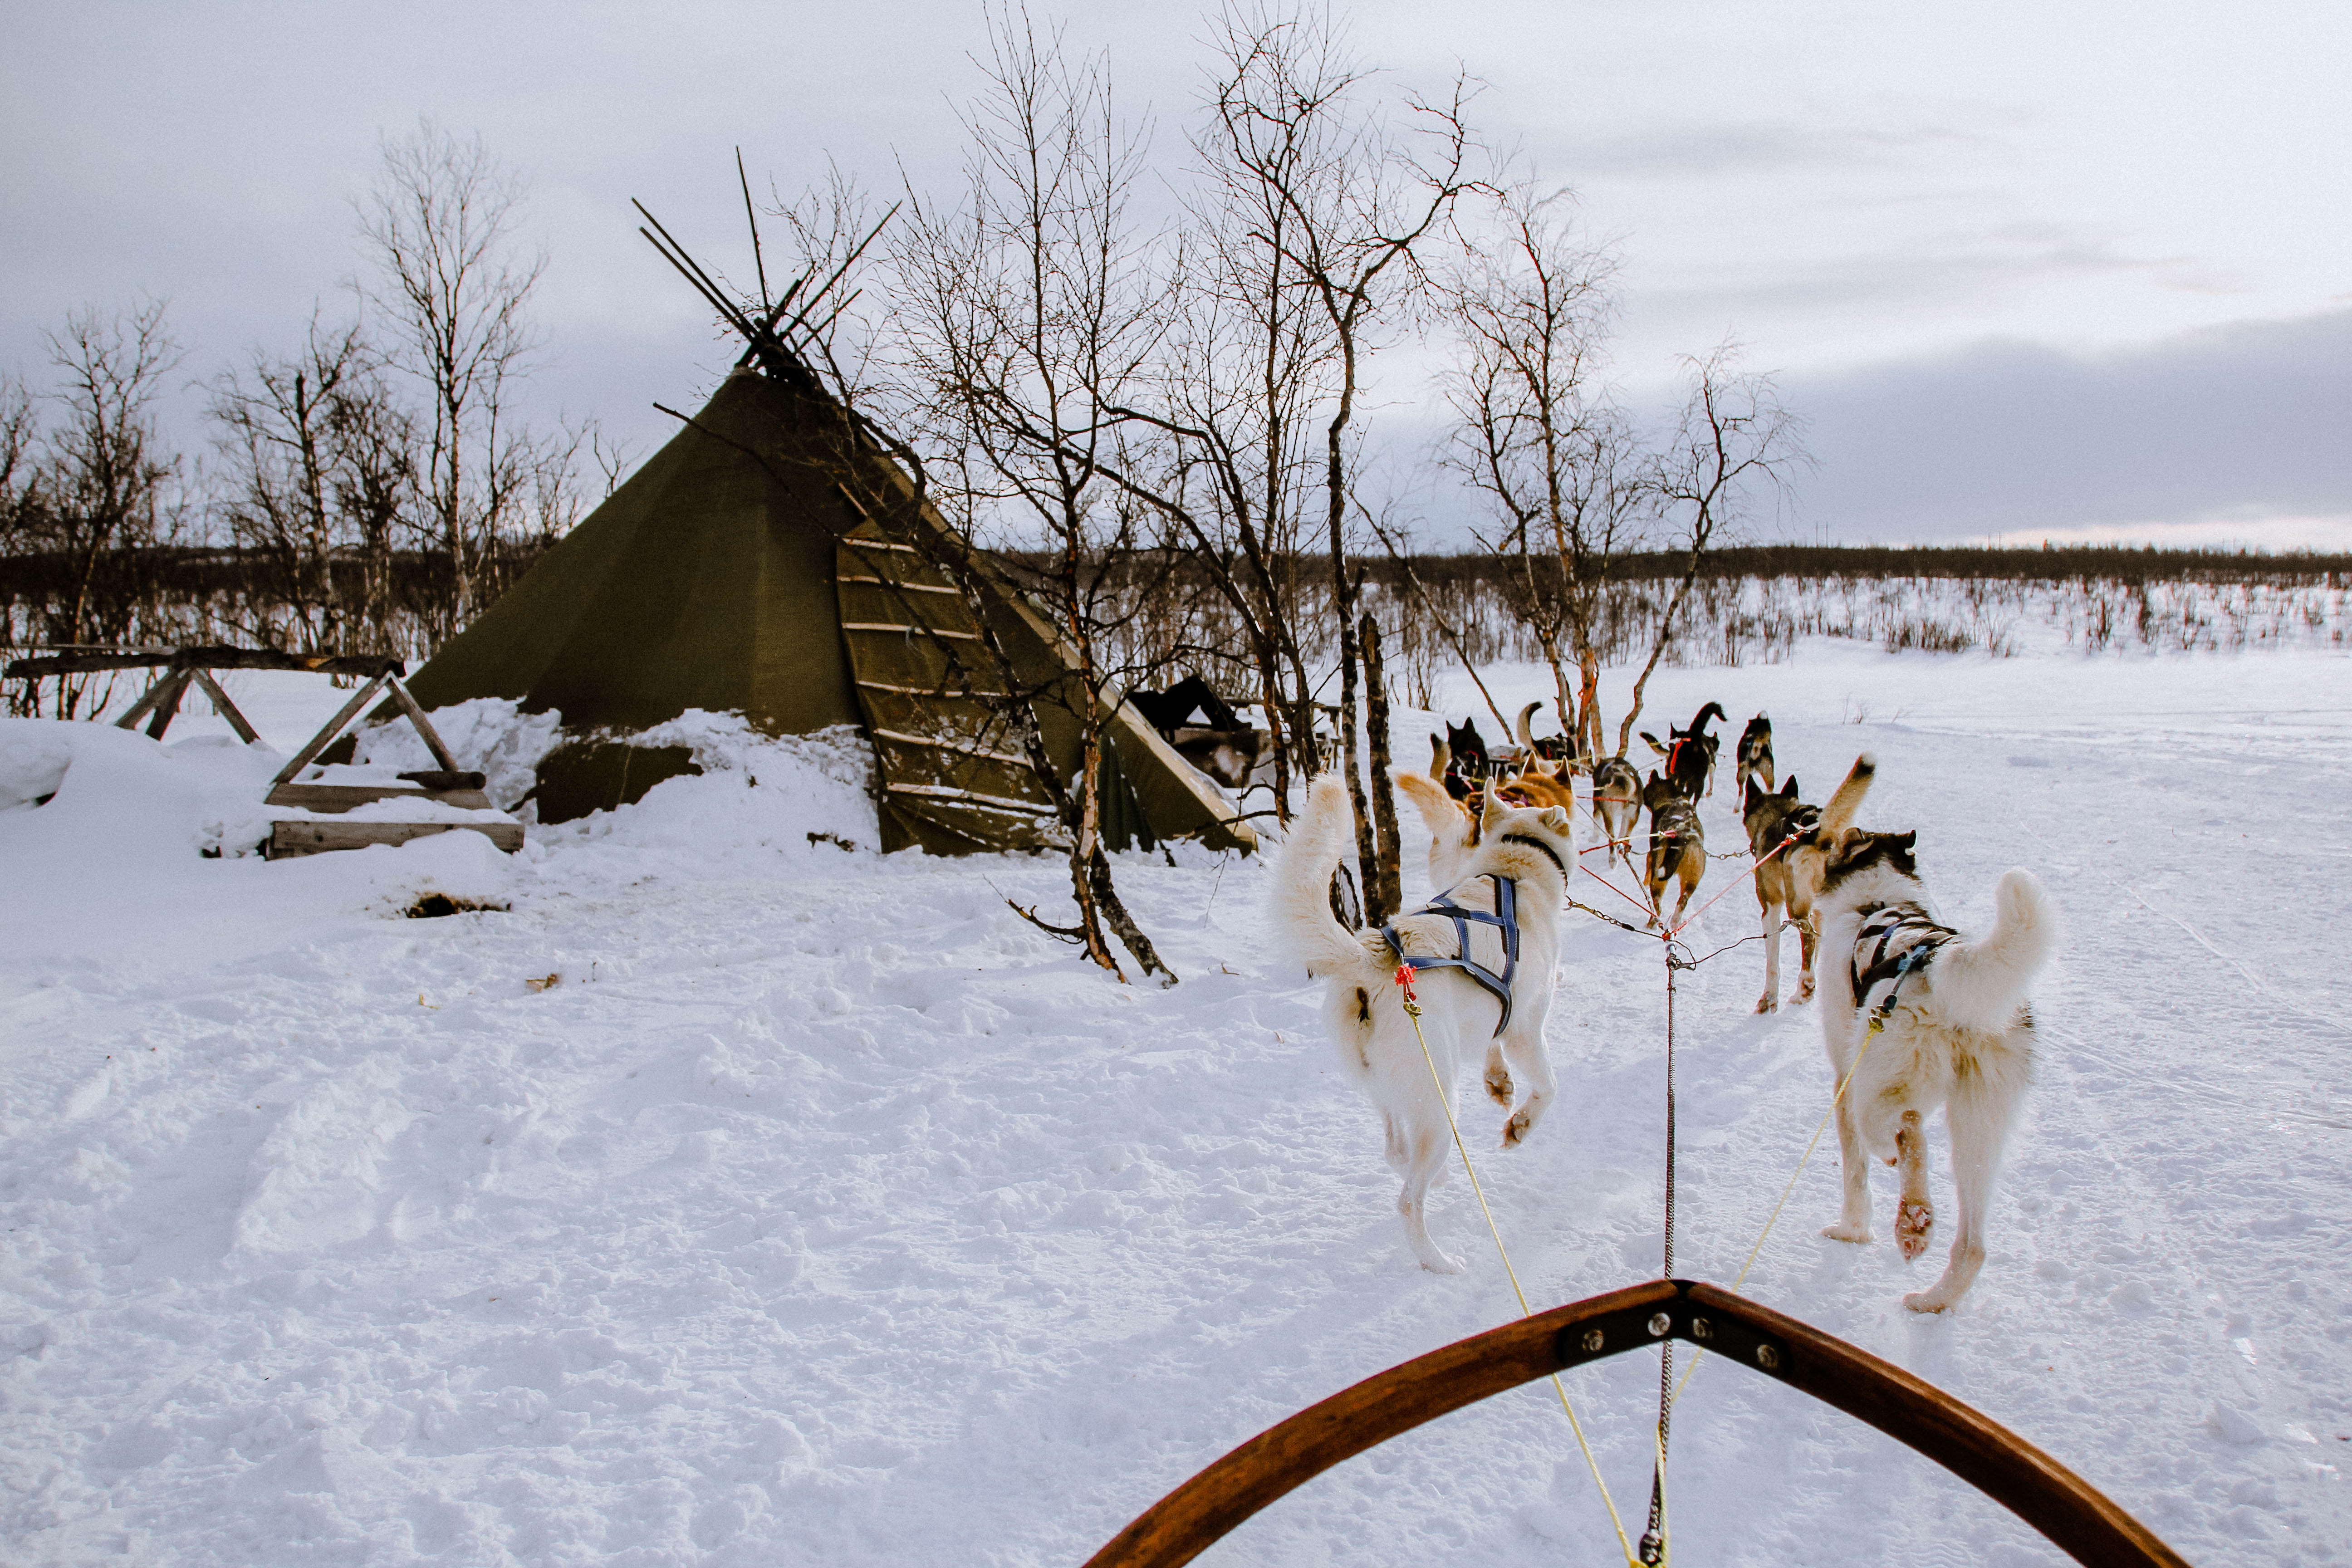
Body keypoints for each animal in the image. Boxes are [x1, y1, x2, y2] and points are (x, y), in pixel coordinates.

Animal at [1270, 775, 1580, 1279]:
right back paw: (1438, 1260)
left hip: (1397, 1091)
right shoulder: (1527, 1030)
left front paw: (1499, 1084)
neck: (1515, 871)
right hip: (1439, 1100)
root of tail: (1376, 958)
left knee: (1397, 1152)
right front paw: (1521, 1124)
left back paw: (1440, 1175)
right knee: (1407, 1200)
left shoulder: (1494, 1019)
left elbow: (1493, 1051)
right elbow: (1548, 1087)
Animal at [1778, 752, 2060, 1316]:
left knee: (1905, 1130)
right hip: (1979, 1127)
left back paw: (1910, 1211)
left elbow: (1856, 1174)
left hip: (1876, 1081)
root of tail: (1940, 962)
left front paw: (1852, 1230)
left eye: (1815, 835)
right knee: (1972, 1245)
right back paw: (1932, 1297)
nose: (1791, 846)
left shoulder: (1842, 1078)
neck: (1879, 902)